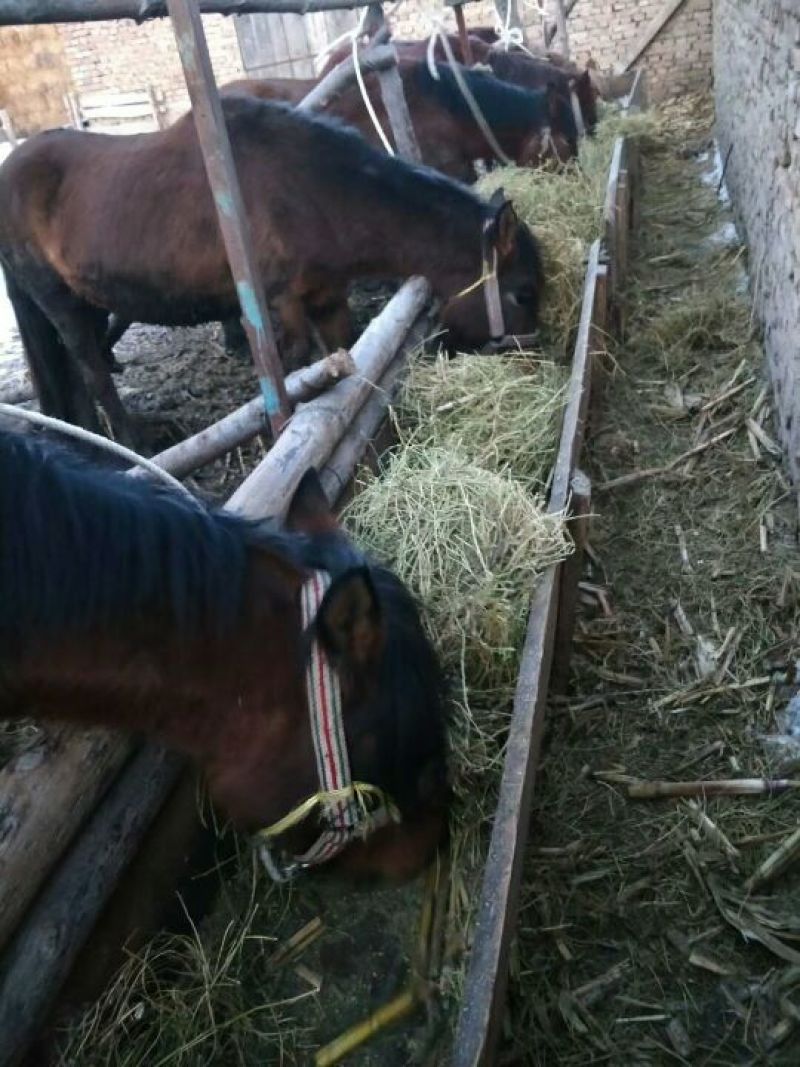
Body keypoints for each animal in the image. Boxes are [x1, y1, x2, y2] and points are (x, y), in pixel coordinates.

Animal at [0, 96, 544, 445]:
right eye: (523, 294)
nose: (533, 363)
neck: (311, 191)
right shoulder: (282, 305)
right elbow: (294, 363)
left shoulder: (329, 299)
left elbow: (345, 363)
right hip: (59, 301)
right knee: (91, 366)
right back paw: (136, 441)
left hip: (88, 302)